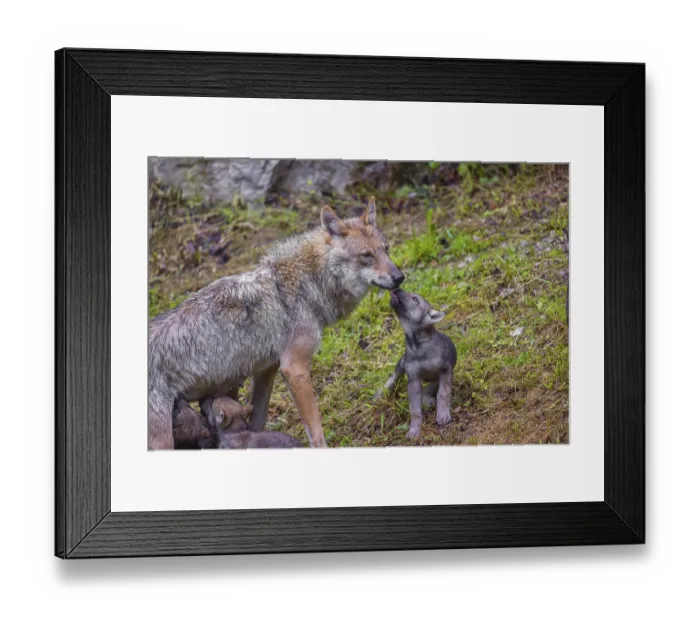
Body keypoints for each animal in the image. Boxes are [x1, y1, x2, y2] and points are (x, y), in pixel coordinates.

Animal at [148, 198, 404, 450]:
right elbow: (316, 433)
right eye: (367, 255)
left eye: (386, 250)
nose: (400, 277)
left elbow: (257, 421)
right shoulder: (294, 368)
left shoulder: (266, 371)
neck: (307, 285)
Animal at [377, 290, 457, 439]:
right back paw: (381, 393)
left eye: (415, 299)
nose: (397, 290)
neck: (418, 346)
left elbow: (443, 394)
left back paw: (428, 399)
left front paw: (443, 415)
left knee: (429, 389)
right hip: (402, 365)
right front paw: (414, 430)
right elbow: (414, 410)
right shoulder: (413, 380)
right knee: (394, 377)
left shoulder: (445, 371)